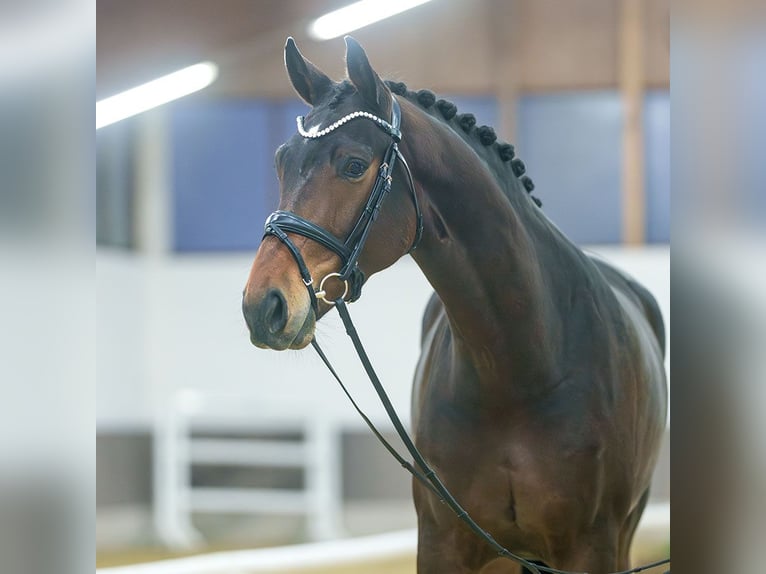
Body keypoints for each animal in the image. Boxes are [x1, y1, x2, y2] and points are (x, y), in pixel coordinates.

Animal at [243, 37, 668, 574]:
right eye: (282, 161)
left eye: (354, 165)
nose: (264, 305)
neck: (518, 367)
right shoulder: (443, 541)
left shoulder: (590, 547)